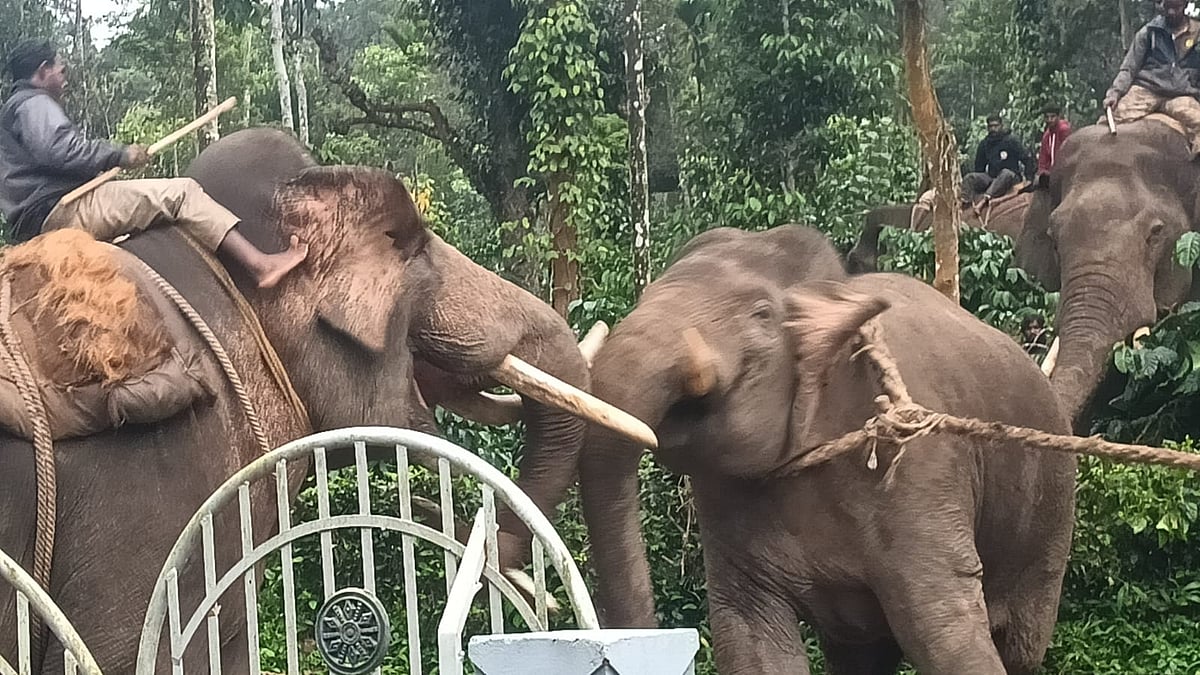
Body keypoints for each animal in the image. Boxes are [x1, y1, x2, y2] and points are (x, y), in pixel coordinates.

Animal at [579, 224, 1077, 674]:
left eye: (761, 314)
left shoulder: (921, 468)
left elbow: (943, 631)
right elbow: (752, 639)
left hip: (1048, 520)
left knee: (1019, 645)